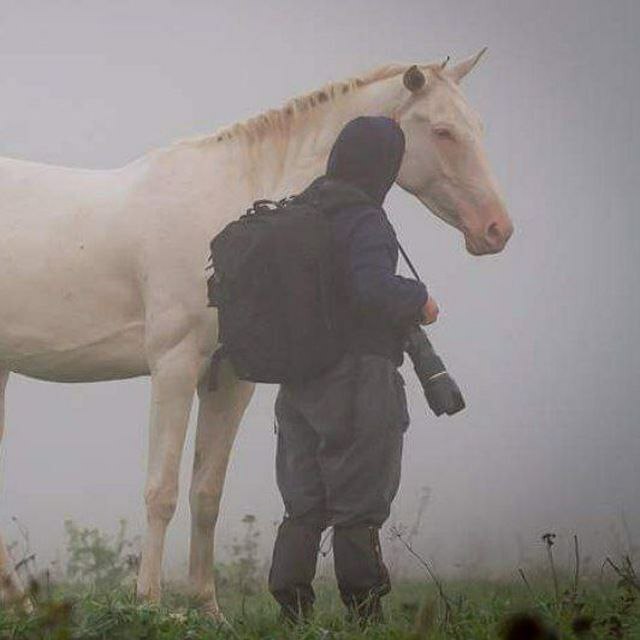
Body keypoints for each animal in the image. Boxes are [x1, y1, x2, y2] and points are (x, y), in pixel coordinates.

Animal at [0, 51, 512, 616]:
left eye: (479, 127)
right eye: (443, 131)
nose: (496, 229)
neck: (224, 223)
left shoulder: (230, 377)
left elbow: (206, 493)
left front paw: (208, 609)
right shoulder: (174, 366)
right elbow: (162, 491)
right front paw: (148, 603)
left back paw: (21, 605)